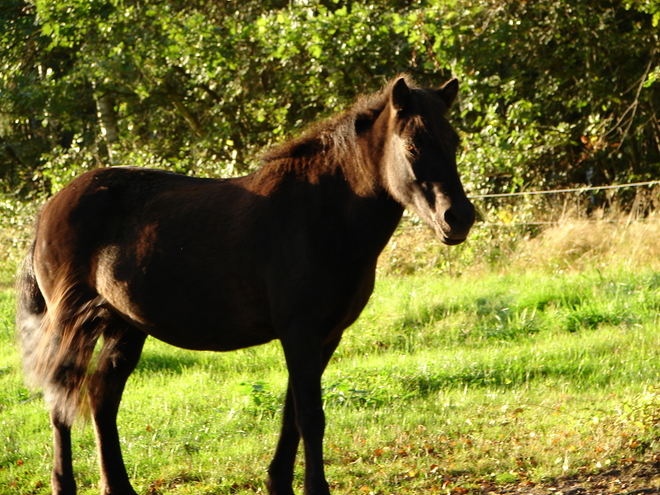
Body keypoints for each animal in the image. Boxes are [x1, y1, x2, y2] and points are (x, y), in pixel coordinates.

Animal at [15, 75, 474, 494]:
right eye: (412, 146)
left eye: (454, 142)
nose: (459, 218)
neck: (319, 215)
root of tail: (48, 211)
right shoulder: (300, 334)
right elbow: (311, 416)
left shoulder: (325, 337)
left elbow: (292, 415)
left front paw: (279, 483)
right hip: (76, 325)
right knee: (62, 398)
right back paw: (64, 485)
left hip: (125, 326)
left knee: (101, 396)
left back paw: (118, 486)